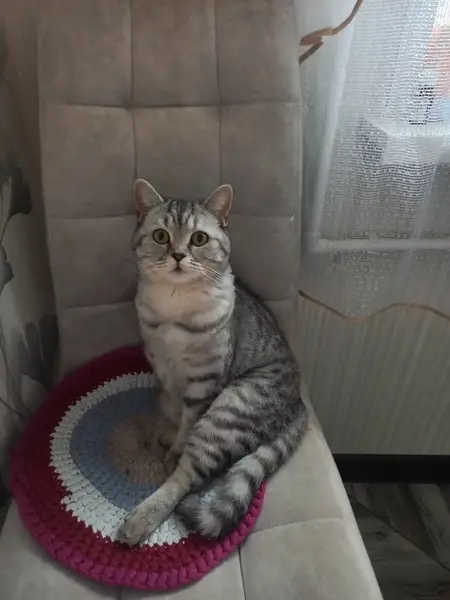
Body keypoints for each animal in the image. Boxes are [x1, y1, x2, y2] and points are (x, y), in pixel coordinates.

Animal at [119, 179, 308, 545]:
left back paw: (139, 518)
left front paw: (174, 448)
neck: (173, 307)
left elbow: (187, 424)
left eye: (199, 239)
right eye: (161, 236)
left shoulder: (203, 382)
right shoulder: (162, 369)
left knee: (187, 477)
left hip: (229, 409)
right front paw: (168, 430)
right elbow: (174, 408)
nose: (178, 255)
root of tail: (299, 402)